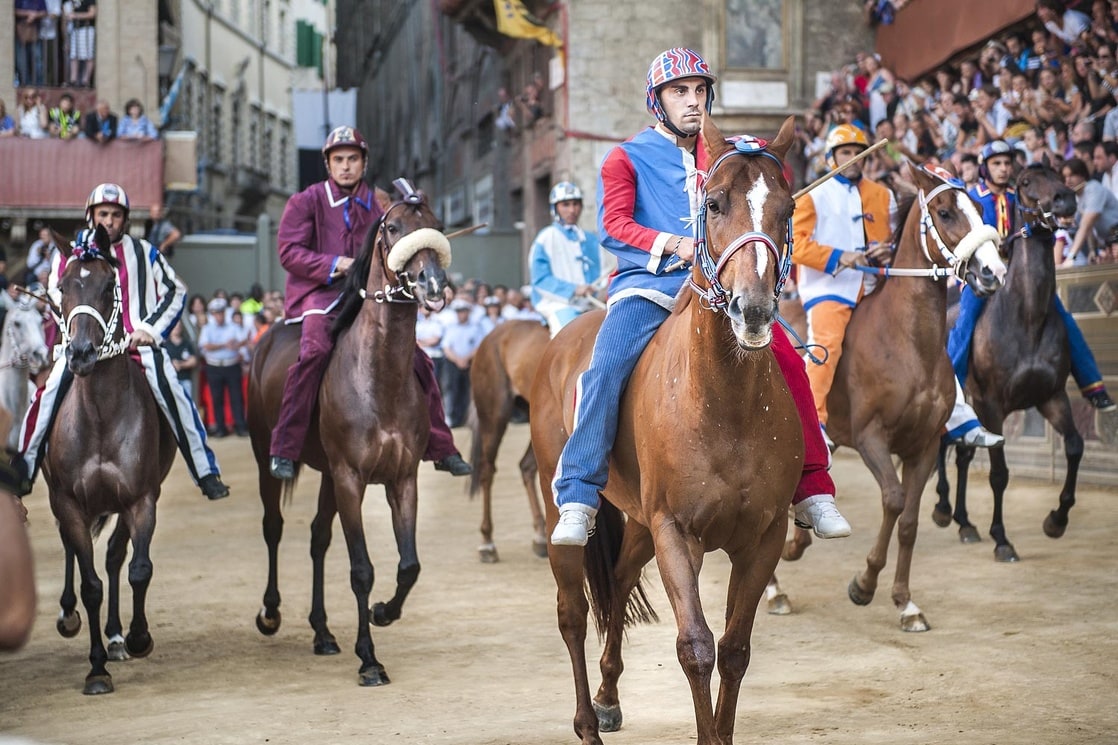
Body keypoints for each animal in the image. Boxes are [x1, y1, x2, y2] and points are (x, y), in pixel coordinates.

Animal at [43, 223, 176, 693]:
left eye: (107, 287)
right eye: (63, 286)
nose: (81, 353)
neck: (100, 417)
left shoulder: (140, 498)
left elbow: (136, 567)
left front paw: (135, 637)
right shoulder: (68, 501)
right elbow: (90, 584)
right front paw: (96, 669)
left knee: (117, 557)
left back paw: (118, 636)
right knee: (73, 550)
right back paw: (68, 616)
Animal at [247, 184, 451, 684]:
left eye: (435, 224)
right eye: (393, 227)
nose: (433, 284)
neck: (378, 377)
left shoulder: (401, 480)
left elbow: (409, 565)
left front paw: (382, 613)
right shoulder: (350, 479)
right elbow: (362, 569)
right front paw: (369, 658)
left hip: (326, 476)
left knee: (318, 537)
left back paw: (321, 632)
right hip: (268, 457)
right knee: (274, 526)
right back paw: (271, 613)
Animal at [934, 159, 1082, 559]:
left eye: (1058, 172)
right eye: (1027, 182)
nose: (1066, 199)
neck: (1027, 318)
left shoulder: (1052, 398)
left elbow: (1074, 447)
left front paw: (1056, 520)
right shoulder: (993, 403)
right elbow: (999, 474)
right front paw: (1001, 538)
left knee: (963, 452)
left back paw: (965, 522)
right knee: (944, 445)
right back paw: (944, 509)